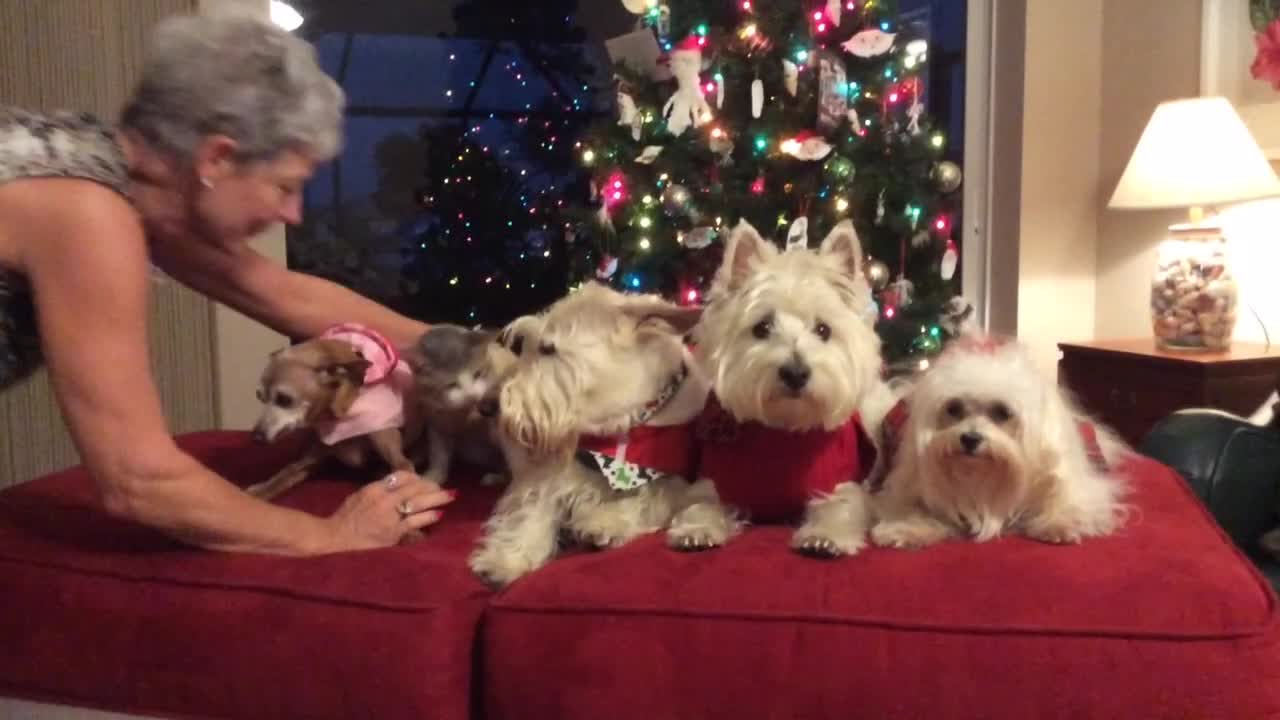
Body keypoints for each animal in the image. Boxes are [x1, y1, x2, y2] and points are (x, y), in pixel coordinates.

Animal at [471, 280, 711, 584]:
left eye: (548, 348)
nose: (486, 407)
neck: (618, 429)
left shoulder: (673, 478)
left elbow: (646, 497)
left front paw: (607, 521)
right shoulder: (553, 470)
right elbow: (530, 511)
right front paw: (506, 559)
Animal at [665, 217, 896, 556]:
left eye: (823, 330)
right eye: (762, 327)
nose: (796, 373)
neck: (784, 430)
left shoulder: (844, 483)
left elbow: (841, 506)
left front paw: (824, 536)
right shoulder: (712, 481)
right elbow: (700, 504)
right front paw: (697, 530)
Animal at [870, 333, 1131, 545]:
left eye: (1003, 412)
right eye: (953, 408)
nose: (970, 438)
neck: (981, 479)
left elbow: (1069, 500)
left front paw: (1058, 523)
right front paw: (905, 528)